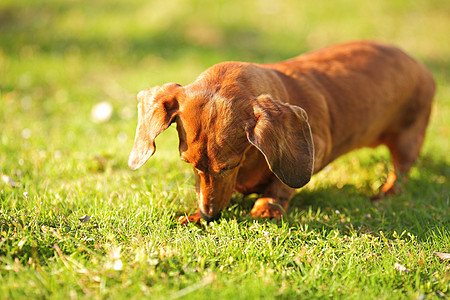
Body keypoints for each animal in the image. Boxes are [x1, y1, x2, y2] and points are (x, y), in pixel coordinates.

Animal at [129, 40, 436, 223]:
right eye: (188, 163)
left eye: (229, 166)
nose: (208, 215)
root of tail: (420, 65)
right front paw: (192, 214)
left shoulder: (318, 148)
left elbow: (281, 184)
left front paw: (267, 206)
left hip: (408, 137)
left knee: (401, 170)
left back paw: (387, 192)